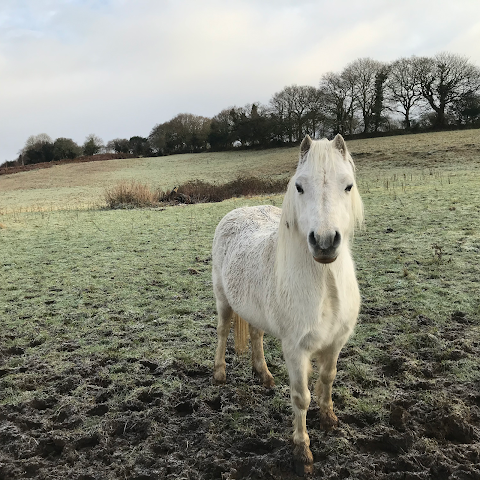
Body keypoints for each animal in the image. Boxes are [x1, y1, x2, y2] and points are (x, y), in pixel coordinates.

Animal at [212, 134, 362, 472]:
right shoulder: (296, 349)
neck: (325, 286)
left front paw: (330, 420)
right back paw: (219, 374)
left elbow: (327, 378)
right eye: (299, 187)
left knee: (256, 335)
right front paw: (302, 451)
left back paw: (264, 375)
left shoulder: (335, 342)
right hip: (223, 301)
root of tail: (237, 211)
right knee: (223, 331)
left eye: (348, 185)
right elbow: (301, 397)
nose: (324, 242)